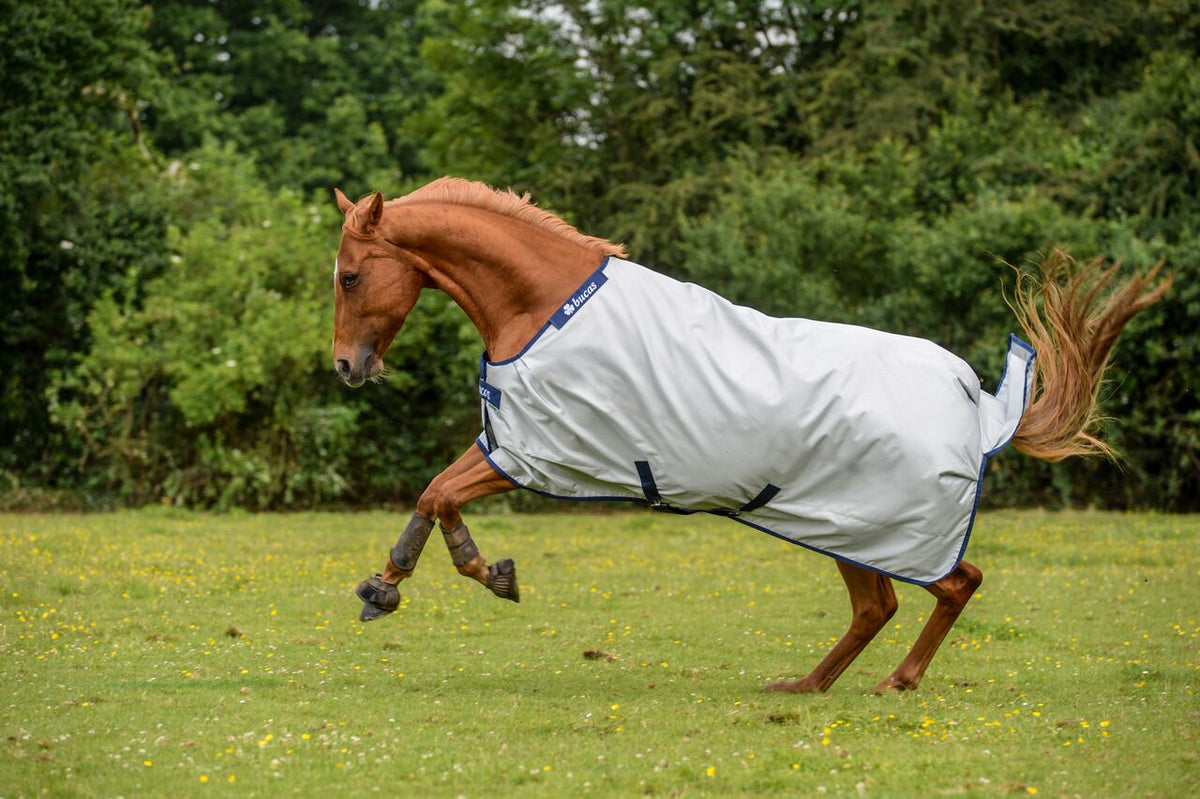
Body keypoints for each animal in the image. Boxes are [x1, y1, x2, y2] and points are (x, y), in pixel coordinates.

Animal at [331, 178, 1169, 693]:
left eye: (348, 275)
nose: (346, 366)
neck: (539, 305)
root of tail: (978, 403)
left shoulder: (529, 451)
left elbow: (439, 493)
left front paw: (457, 576)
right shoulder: (516, 448)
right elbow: (434, 494)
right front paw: (395, 583)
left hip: (878, 527)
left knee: (952, 584)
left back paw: (894, 681)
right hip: (843, 526)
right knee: (881, 607)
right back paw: (808, 684)